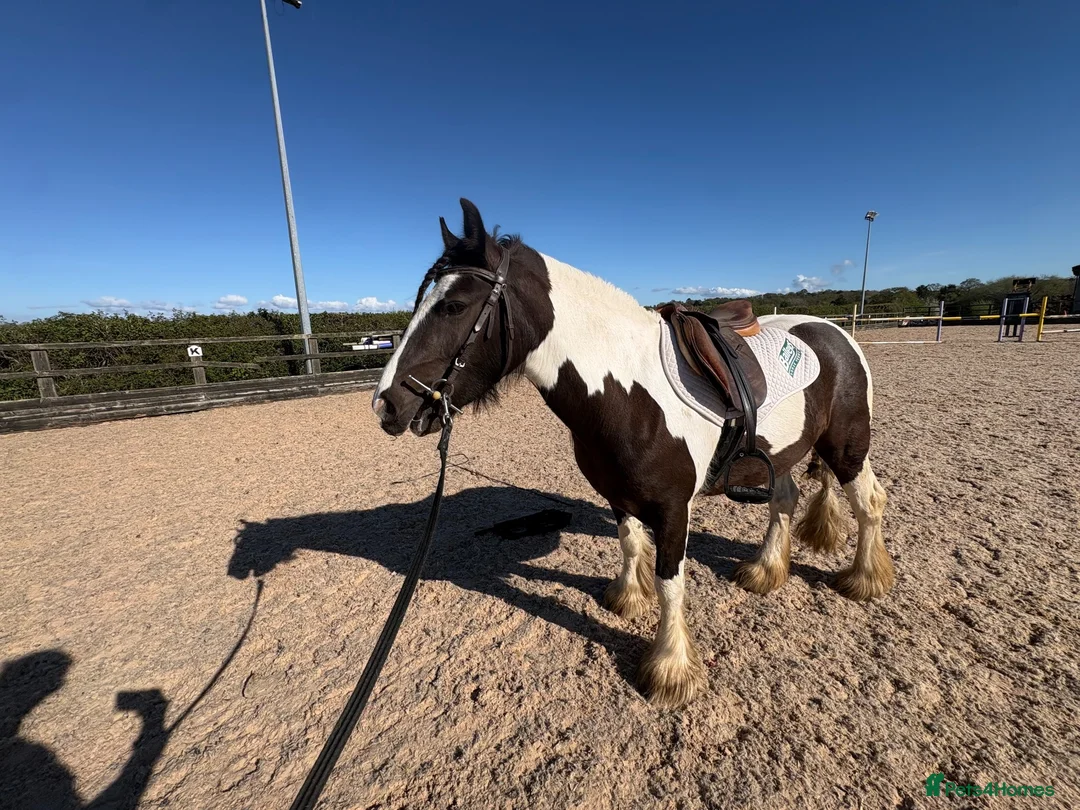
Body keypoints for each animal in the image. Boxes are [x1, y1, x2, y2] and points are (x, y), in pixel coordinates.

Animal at [372, 198, 894, 709]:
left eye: (454, 306)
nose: (386, 404)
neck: (629, 393)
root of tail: (834, 332)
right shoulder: (617, 495)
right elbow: (629, 544)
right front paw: (627, 599)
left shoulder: (673, 508)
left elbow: (671, 583)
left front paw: (670, 669)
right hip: (782, 453)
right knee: (784, 502)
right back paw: (766, 571)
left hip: (847, 447)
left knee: (869, 502)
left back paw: (865, 580)